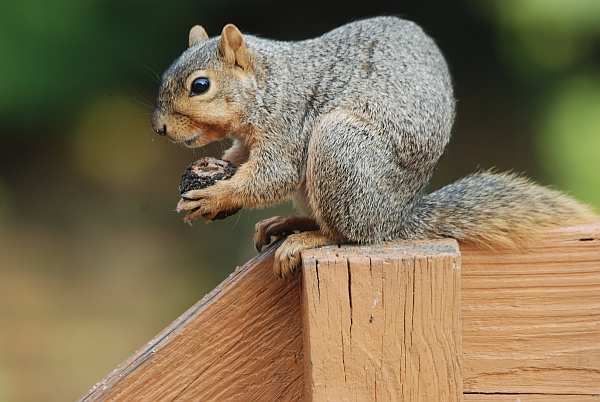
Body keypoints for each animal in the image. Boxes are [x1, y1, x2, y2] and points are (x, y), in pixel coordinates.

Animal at [151, 16, 596, 280]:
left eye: (200, 85)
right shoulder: (247, 141)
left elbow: (273, 175)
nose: (159, 128)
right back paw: (290, 223)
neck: (270, 84)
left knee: (347, 235)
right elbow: (240, 161)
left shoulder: (289, 125)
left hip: (339, 148)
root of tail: (395, 219)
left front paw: (215, 195)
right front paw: (213, 175)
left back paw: (306, 238)